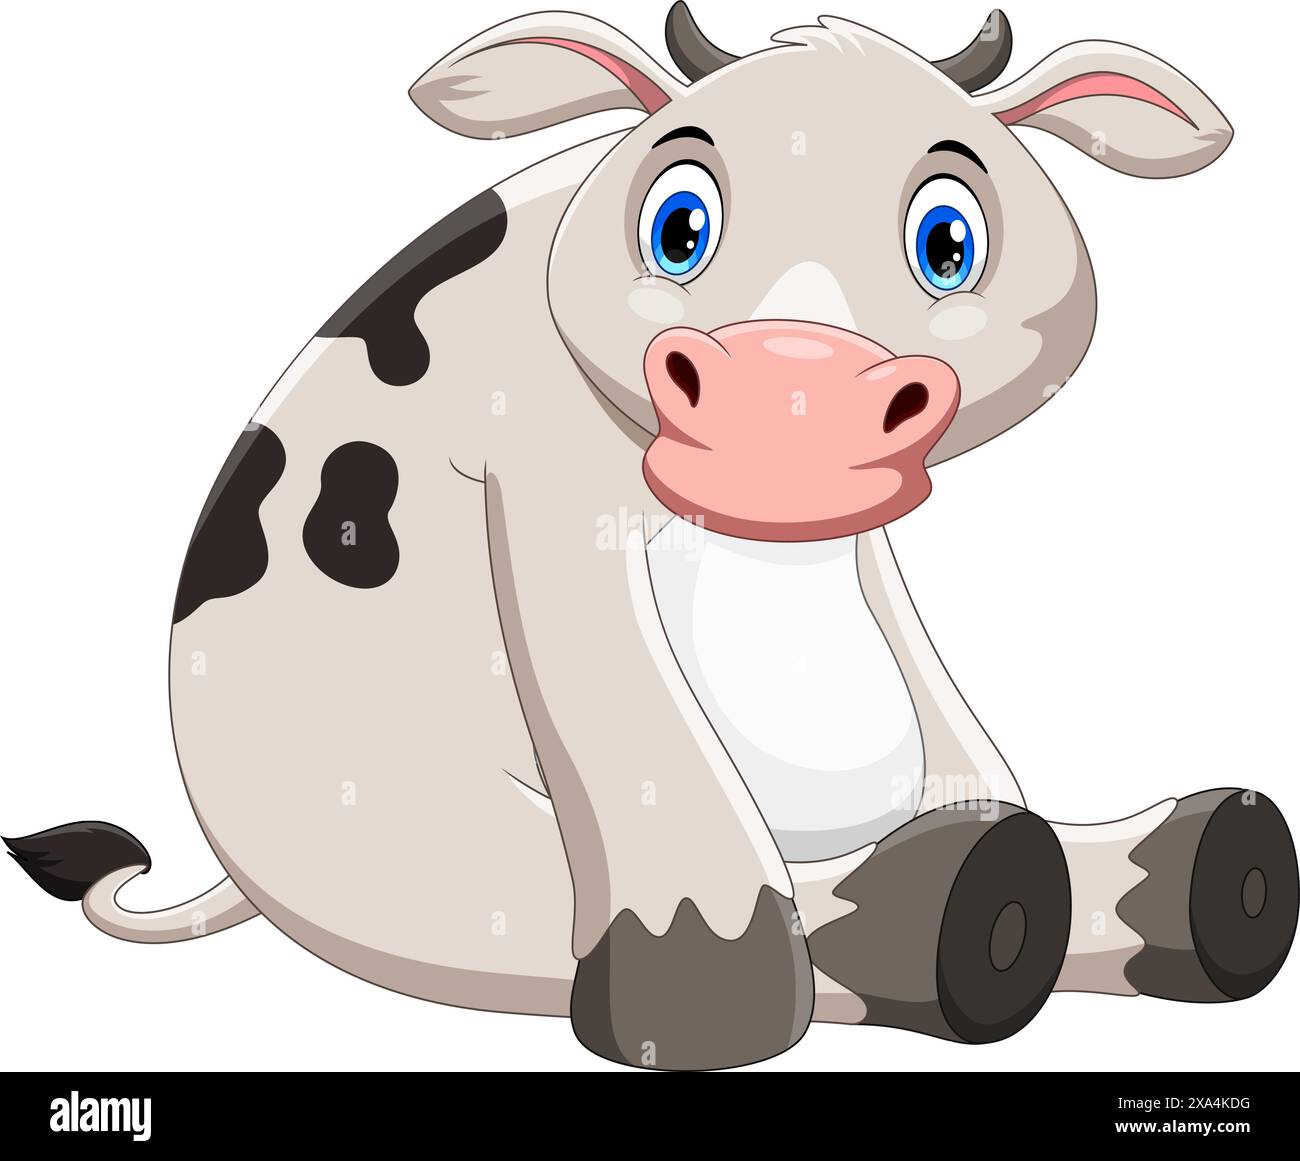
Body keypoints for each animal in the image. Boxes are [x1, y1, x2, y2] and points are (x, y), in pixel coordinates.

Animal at [7, 5, 1297, 1071]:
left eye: (948, 242)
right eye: (680, 226)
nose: (789, 398)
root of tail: (231, 864)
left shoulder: (872, 558)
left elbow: (948, 709)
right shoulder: (532, 472)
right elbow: (636, 727)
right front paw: (709, 1013)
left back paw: (1211, 868)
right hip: (386, 827)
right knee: (532, 911)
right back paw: (970, 901)